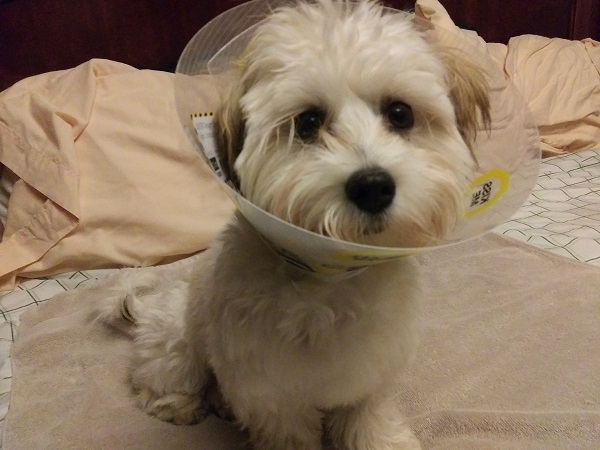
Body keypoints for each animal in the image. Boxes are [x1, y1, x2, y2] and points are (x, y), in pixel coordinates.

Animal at [96, 1, 490, 448]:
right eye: (308, 123)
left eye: (400, 114)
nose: (372, 186)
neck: (330, 282)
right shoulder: (272, 395)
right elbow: (288, 429)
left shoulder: (371, 374)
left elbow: (367, 414)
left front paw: (382, 440)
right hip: (179, 335)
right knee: (168, 372)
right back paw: (179, 403)